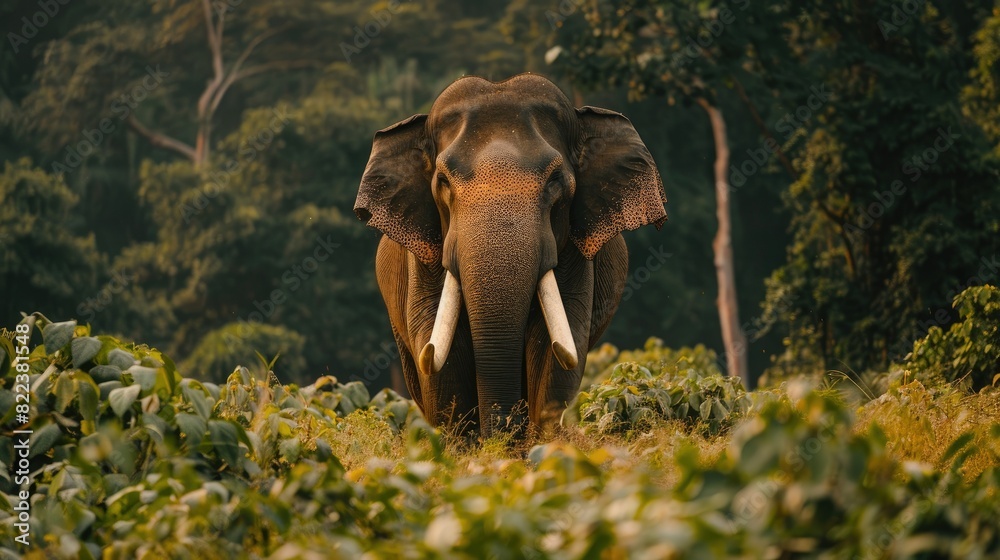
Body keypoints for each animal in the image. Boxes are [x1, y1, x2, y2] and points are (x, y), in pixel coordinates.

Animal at [354, 73, 666, 437]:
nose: (501, 435)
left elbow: (557, 344)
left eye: (555, 180)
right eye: (443, 181)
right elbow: (438, 342)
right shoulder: (424, 255)